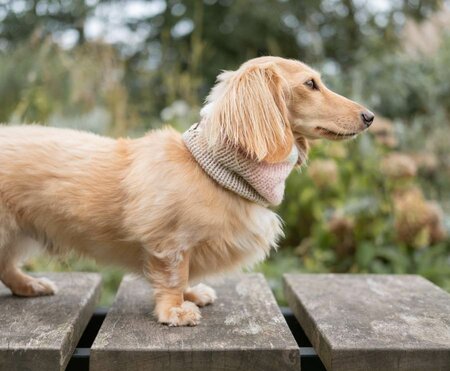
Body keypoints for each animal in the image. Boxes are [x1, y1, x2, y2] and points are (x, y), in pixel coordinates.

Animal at [0, 56, 372, 326]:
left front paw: (192, 294)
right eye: (310, 84)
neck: (213, 168)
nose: (369, 116)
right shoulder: (170, 243)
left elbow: (187, 274)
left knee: (6, 267)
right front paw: (175, 311)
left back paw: (29, 285)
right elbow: (174, 276)